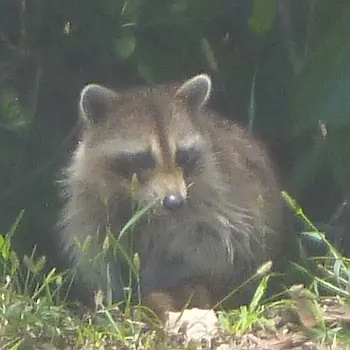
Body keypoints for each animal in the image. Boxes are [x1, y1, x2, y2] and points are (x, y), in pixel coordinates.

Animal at [59, 72, 290, 310]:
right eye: (143, 159)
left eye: (181, 155)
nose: (174, 201)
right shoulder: (90, 199)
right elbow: (97, 252)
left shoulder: (219, 195)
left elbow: (213, 245)